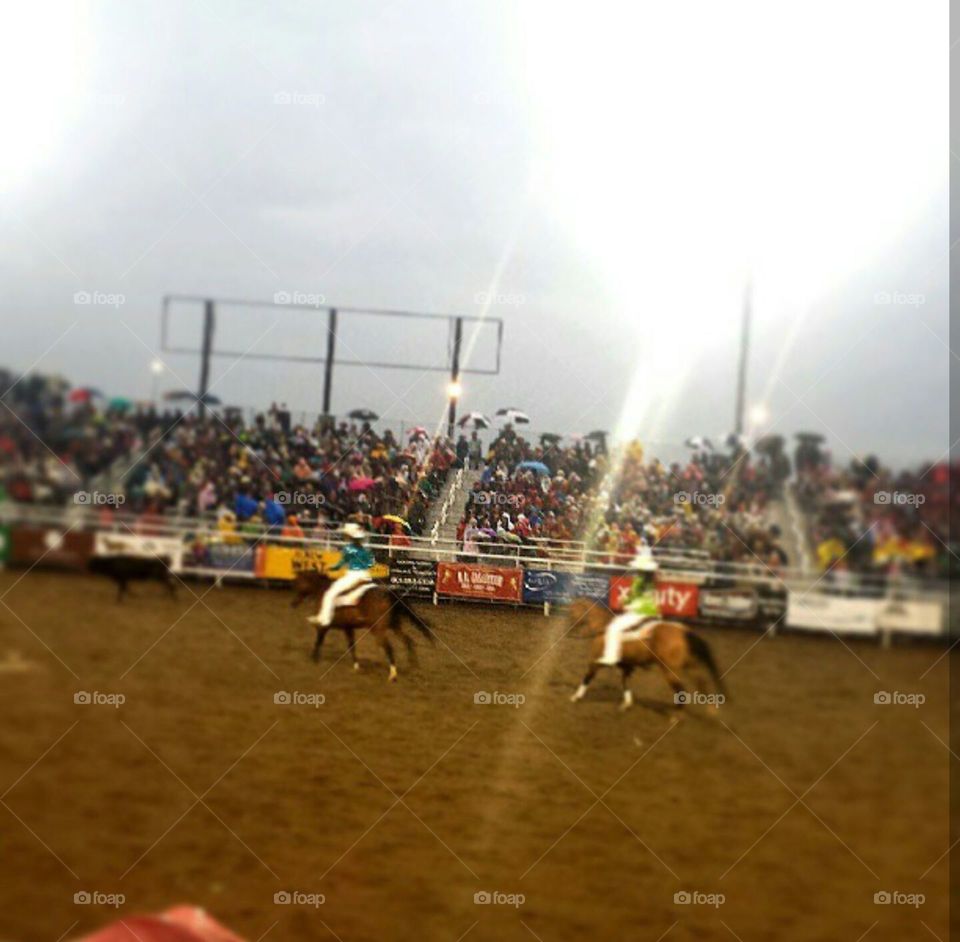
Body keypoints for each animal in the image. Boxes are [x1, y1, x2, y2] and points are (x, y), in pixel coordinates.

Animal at [294, 572, 436, 684]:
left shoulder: (325, 626)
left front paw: (314, 659)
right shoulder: (348, 628)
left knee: (389, 648)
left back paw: (393, 675)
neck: (322, 591)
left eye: (299, 583)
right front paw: (356, 666)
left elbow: (319, 640)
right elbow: (351, 646)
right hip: (394, 626)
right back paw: (413, 667)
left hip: (378, 630)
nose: (293, 603)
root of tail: (389, 593)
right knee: (408, 641)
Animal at [568, 600, 724, 712]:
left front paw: (575, 696)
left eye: (573, 612)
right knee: (701, 682)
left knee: (681, 690)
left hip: (670, 671)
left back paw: (676, 715)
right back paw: (711, 709)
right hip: (688, 665)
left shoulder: (596, 662)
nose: (569, 631)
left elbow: (587, 678)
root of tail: (683, 631)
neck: (602, 628)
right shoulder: (625, 666)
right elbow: (625, 683)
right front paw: (627, 704)